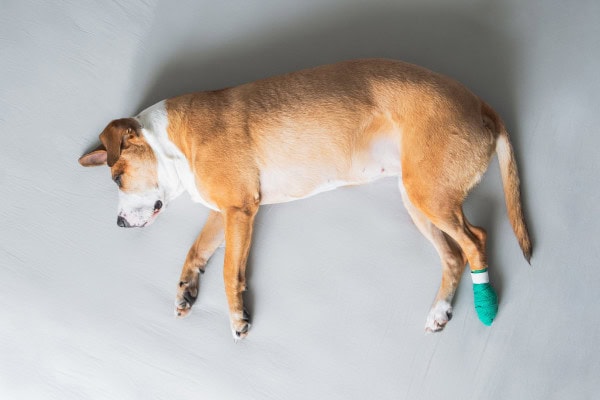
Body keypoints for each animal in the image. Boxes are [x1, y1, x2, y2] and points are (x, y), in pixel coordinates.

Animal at [78, 57, 528, 338]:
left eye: (117, 178)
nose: (119, 224)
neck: (170, 140)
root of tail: (479, 103)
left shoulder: (240, 210)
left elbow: (228, 272)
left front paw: (237, 318)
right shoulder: (226, 212)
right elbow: (195, 250)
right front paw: (187, 287)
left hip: (429, 197)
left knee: (476, 240)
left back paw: (485, 305)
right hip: (417, 200)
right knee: (453, 256)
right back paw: (439, 311)